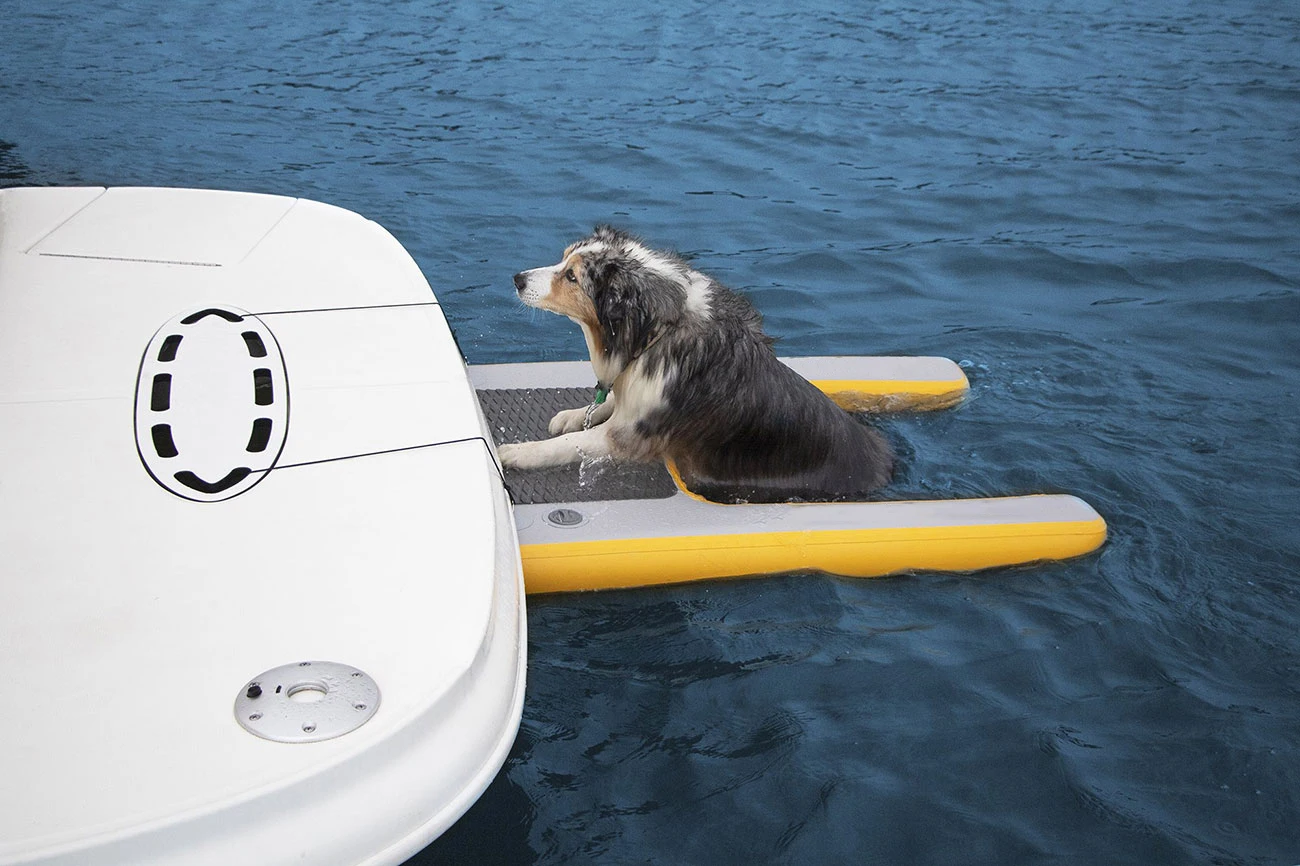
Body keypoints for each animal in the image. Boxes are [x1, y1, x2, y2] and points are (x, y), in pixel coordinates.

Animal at [496, 226, 894, 501]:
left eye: (572, 277)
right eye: (563, 259)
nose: (517, 279)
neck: (654, 332)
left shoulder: (628, 438)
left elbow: (566, 444)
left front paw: (519, 452)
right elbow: (606, 403)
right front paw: (573, 414)